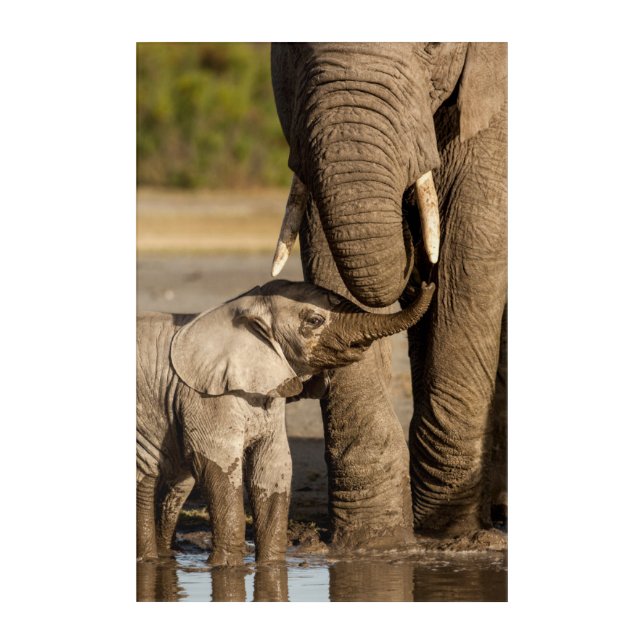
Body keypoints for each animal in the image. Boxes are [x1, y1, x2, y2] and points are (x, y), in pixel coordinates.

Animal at [136, 278, 434, 564]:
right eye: (314, 321)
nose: (425, 284)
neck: (242, 308)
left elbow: (272, 467)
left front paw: (272, 565)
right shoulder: (206, 397)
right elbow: (218, 464)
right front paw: (226, 567)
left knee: (175, 484)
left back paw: (164, 557)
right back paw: (149, 559)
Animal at [270, 42, 507, 544]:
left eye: (434, 46)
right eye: (293, 48)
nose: (420, 274)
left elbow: (468, 251)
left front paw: (448, 535)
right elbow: (326, 247)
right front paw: (372, 540)